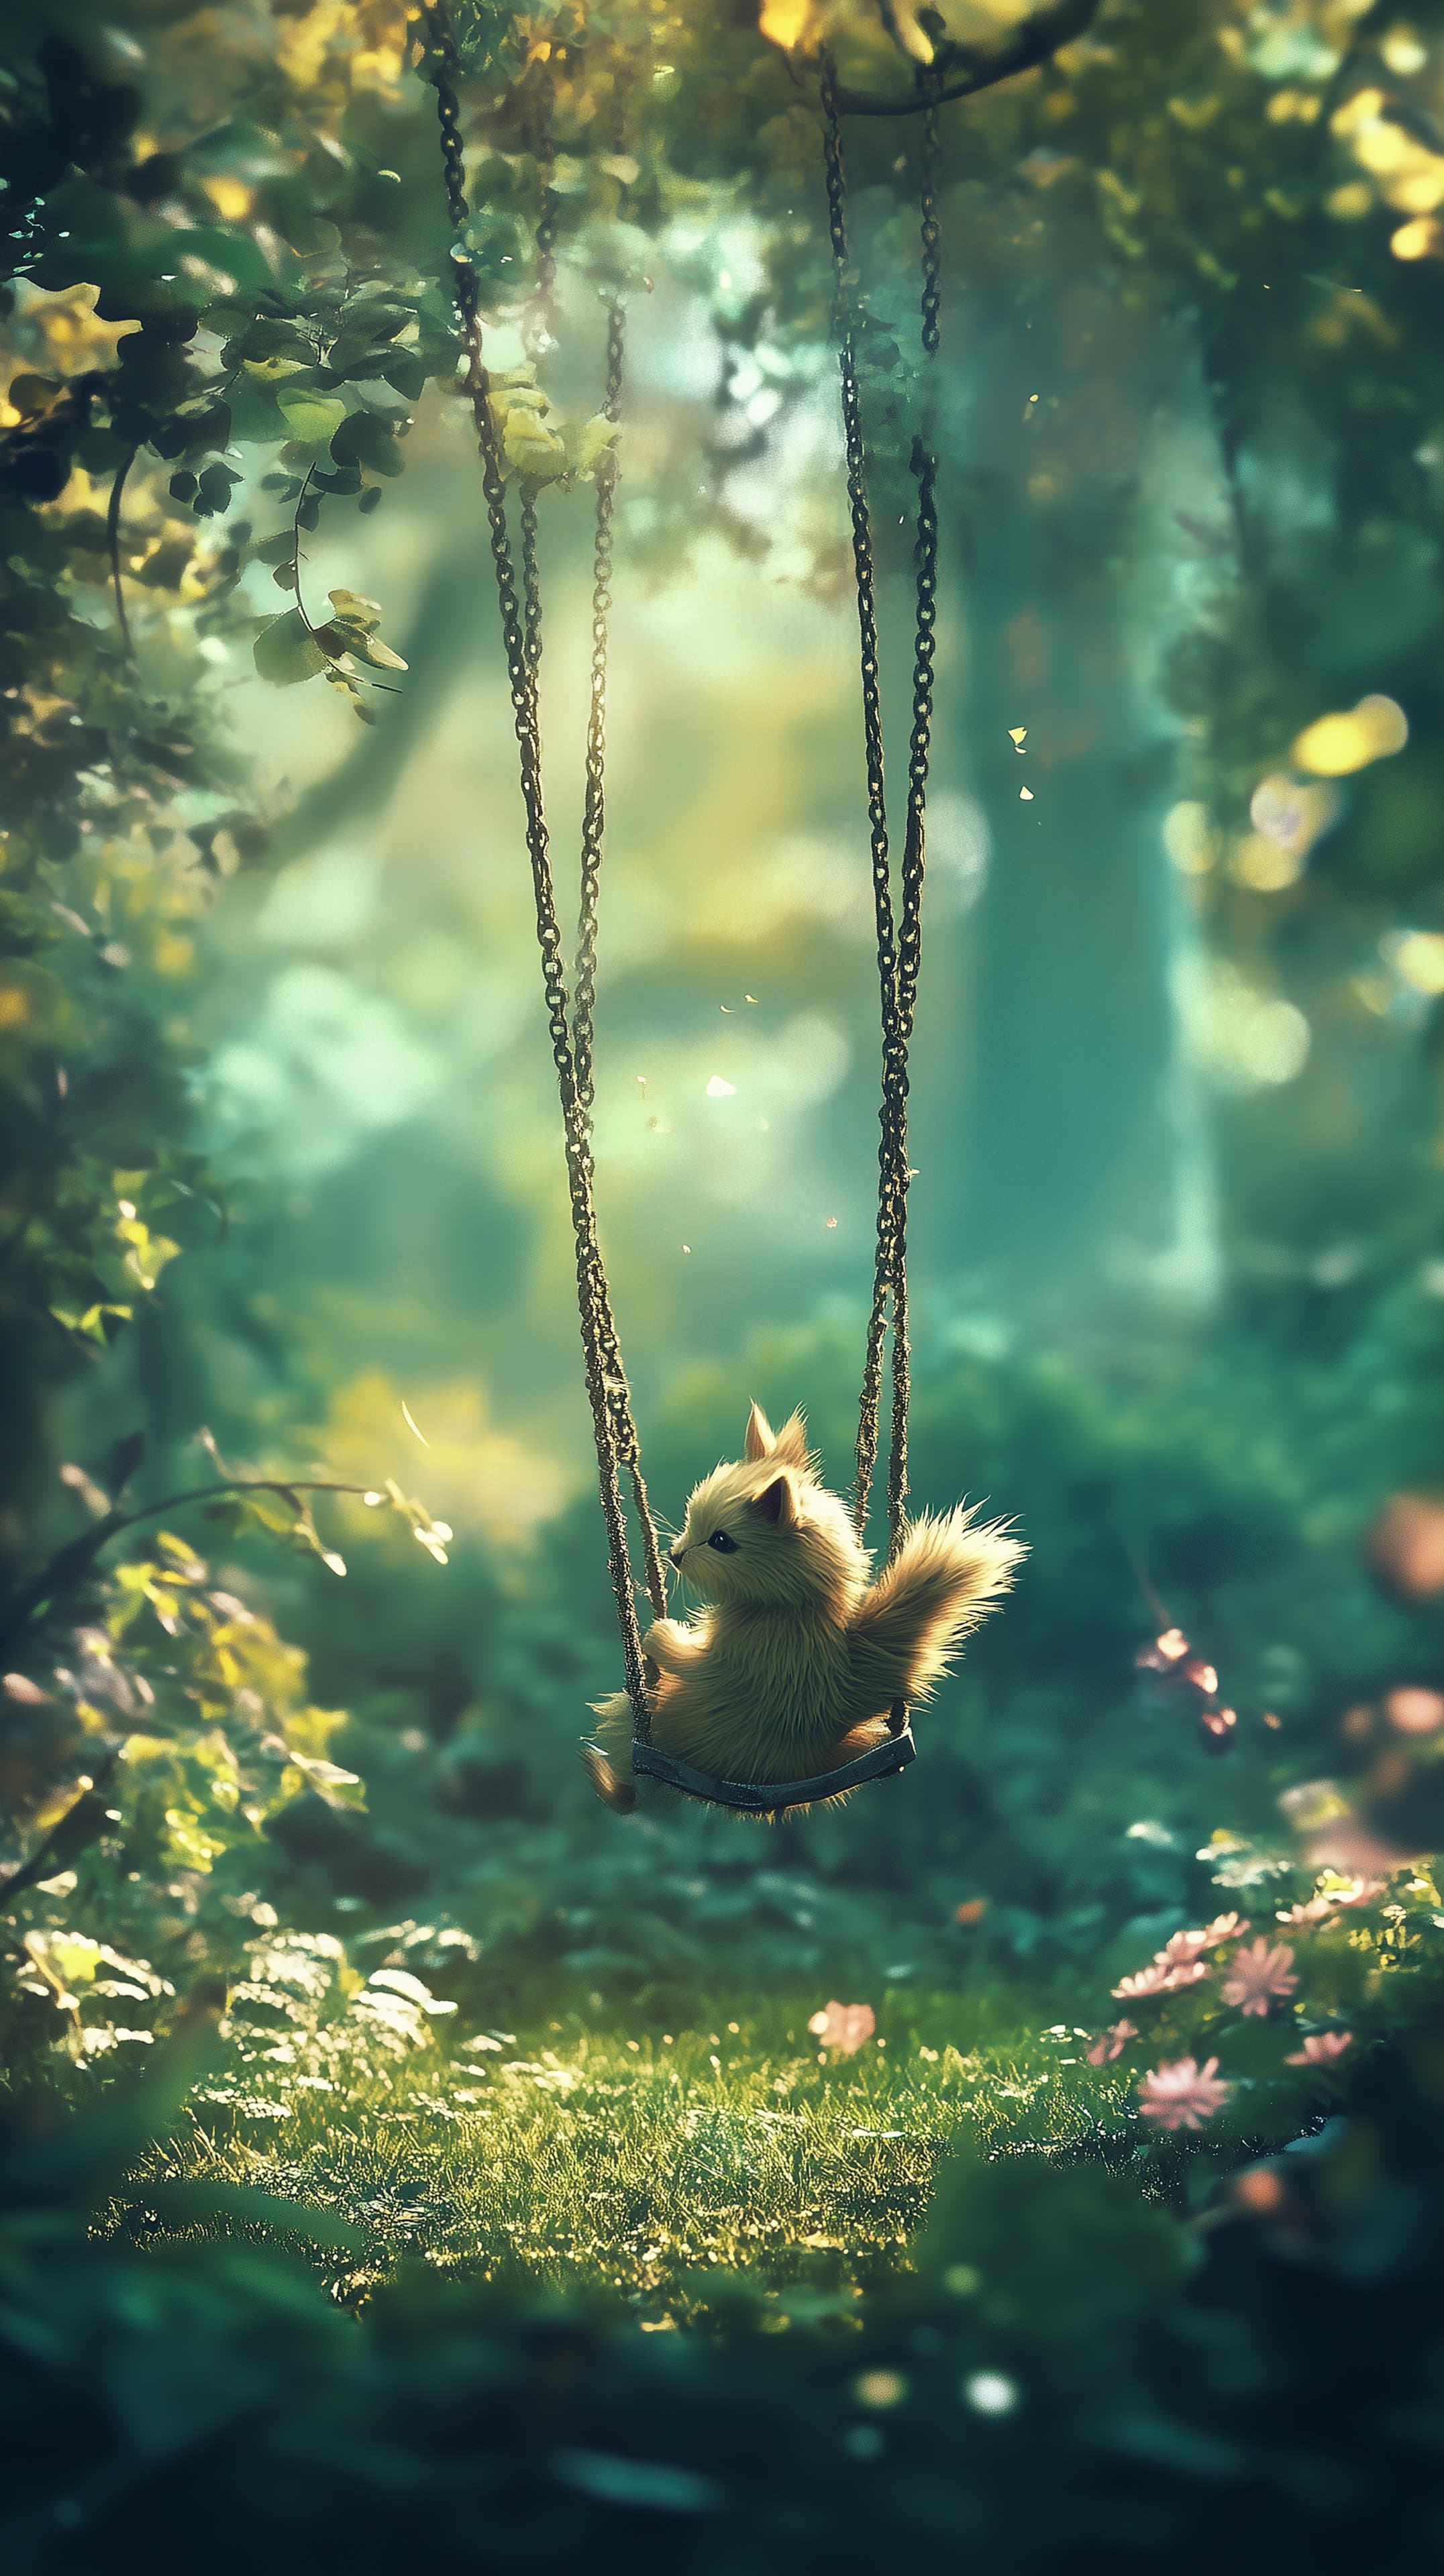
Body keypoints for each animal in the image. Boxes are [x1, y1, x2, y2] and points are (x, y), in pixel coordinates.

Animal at [583, 1402, 1022, 1814]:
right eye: (691, 1518)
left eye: (721, 1541)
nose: (674, 1556)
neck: (790, 1607)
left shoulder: (752, 1654)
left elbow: (698, 1666)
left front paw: (659, 1636)